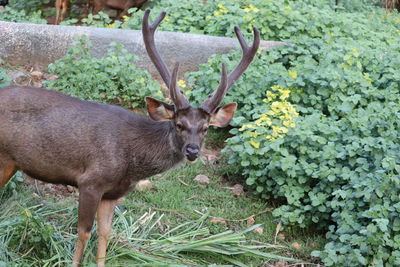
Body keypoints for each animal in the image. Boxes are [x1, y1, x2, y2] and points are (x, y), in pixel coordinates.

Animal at [0, 9, 260, 266]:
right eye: (178, 125)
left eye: (205, 128)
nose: (193, 151)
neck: (131, 164)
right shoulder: (90, 181)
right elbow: (83, 232)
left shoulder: (113, 192)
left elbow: (105, 232)